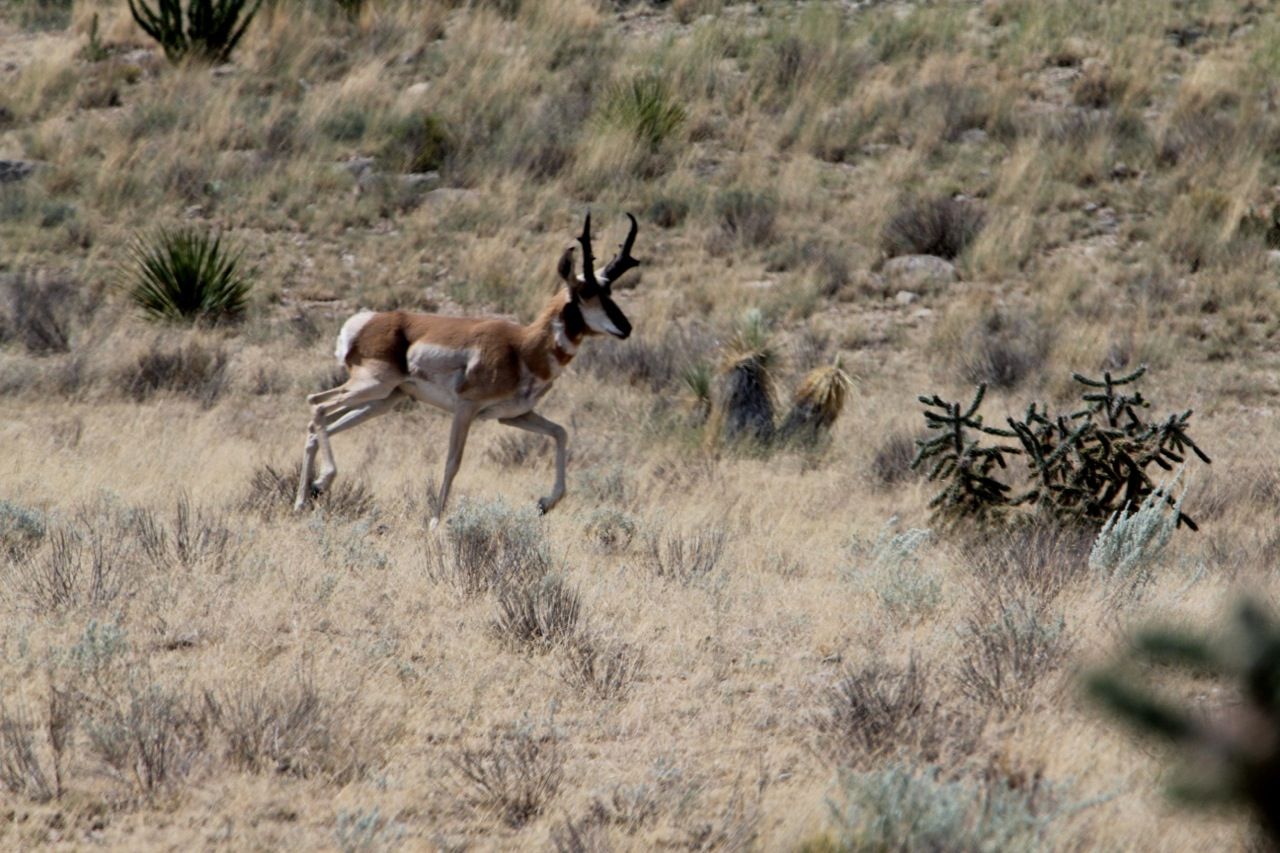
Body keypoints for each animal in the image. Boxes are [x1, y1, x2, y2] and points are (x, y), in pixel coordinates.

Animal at [295, 212, 640, 528]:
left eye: (609, 292)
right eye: (586, 293)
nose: (626, 328)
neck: (522, 347)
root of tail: (366, 322)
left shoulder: (513, 416)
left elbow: (560, 432)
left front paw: (545, 503)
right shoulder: (466, 407)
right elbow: (452, 462)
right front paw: (435, 523)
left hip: (383, 400)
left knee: (317, 423)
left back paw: (305, 497)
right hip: (371, 386)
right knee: (317, 405)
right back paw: (322, 482)